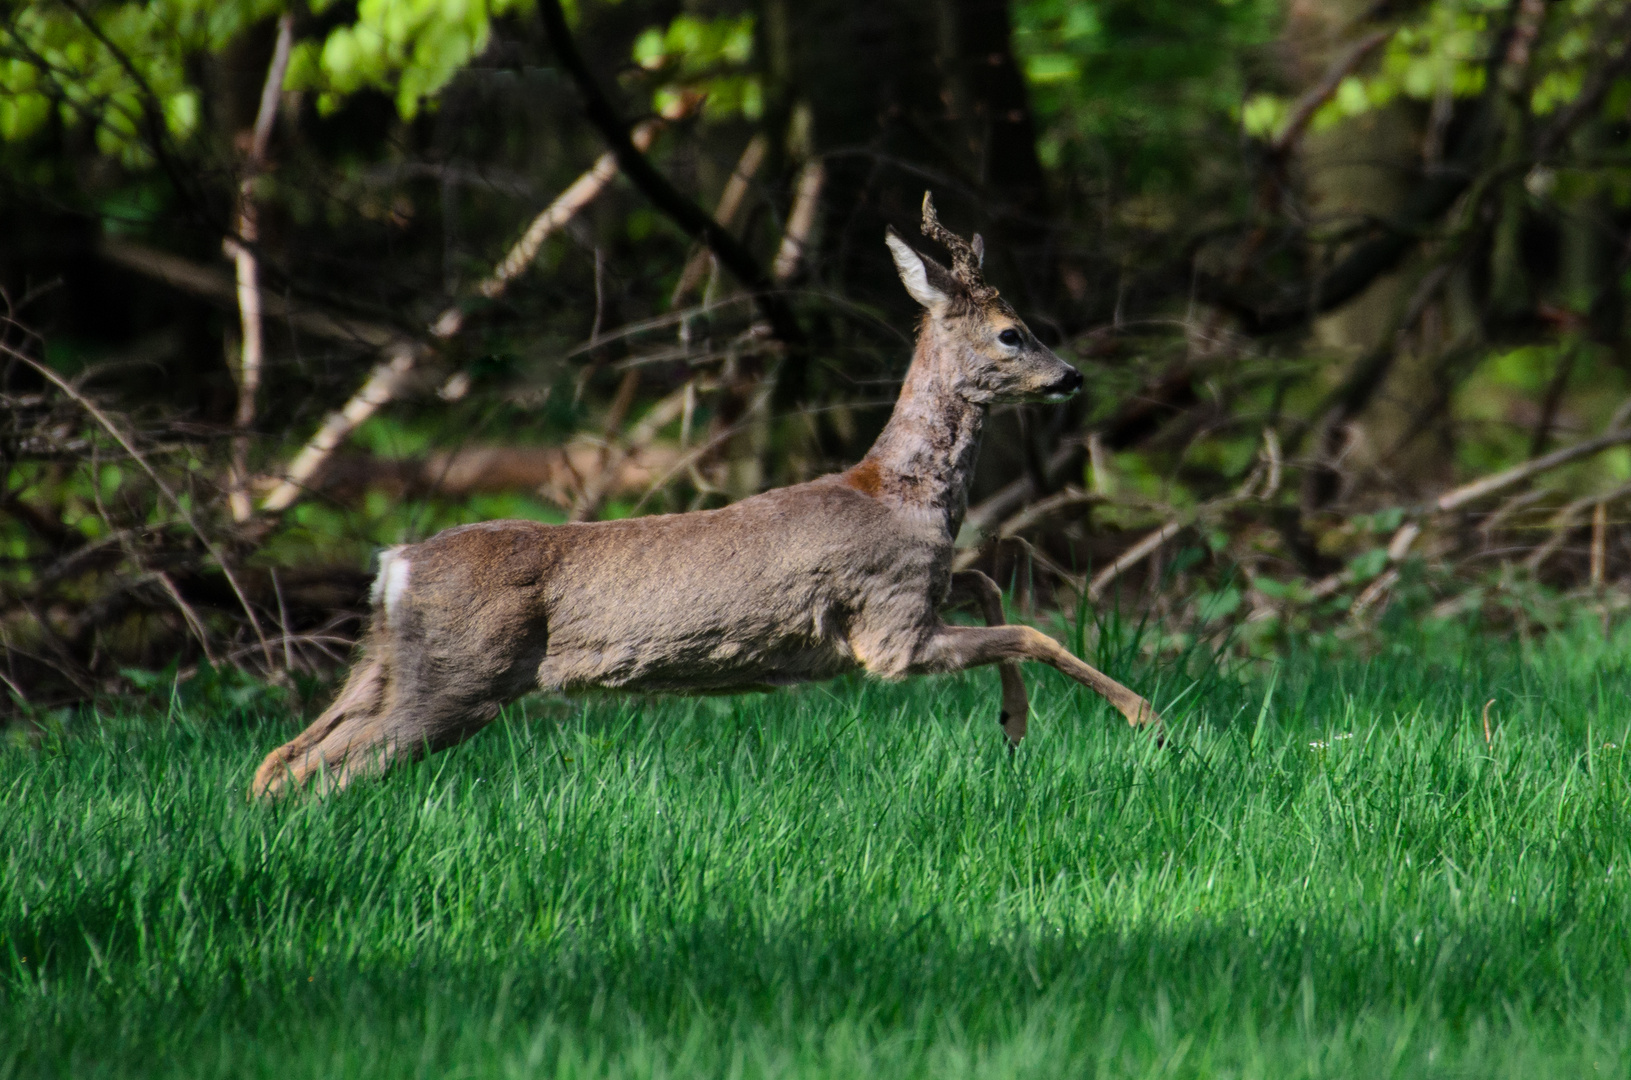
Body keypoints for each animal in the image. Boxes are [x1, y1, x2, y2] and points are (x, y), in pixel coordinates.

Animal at [251, 194, 1161, 799]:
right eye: (1012, 333)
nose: (1071, 376)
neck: (905, 495)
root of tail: (394, 561)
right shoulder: (888, 633)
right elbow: (1032, 630)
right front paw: (1138, 715)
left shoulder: (920, 598)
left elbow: (987, 582)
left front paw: (1014, 725)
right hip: (459, 676)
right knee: (329, 768)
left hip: (388, 659)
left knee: (280, 757)